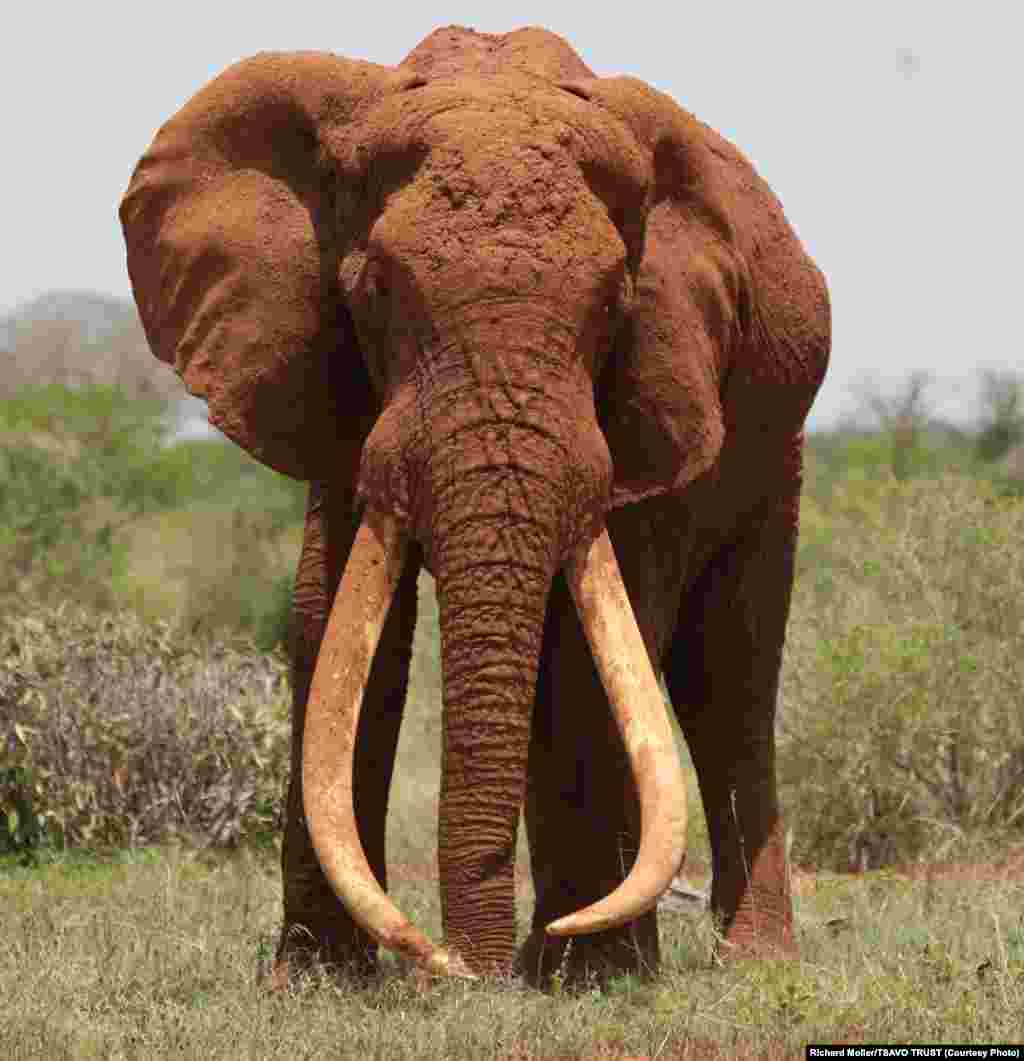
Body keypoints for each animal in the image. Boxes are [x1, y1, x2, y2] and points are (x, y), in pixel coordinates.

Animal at [120, 25, 830, 985]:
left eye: (615, 304)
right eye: (375, 291)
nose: (461, 966)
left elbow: (593, 646)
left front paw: (591, 976)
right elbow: (332, 624)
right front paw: (317, 976)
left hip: (775, 444)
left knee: (732, 674)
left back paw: (741, 961)